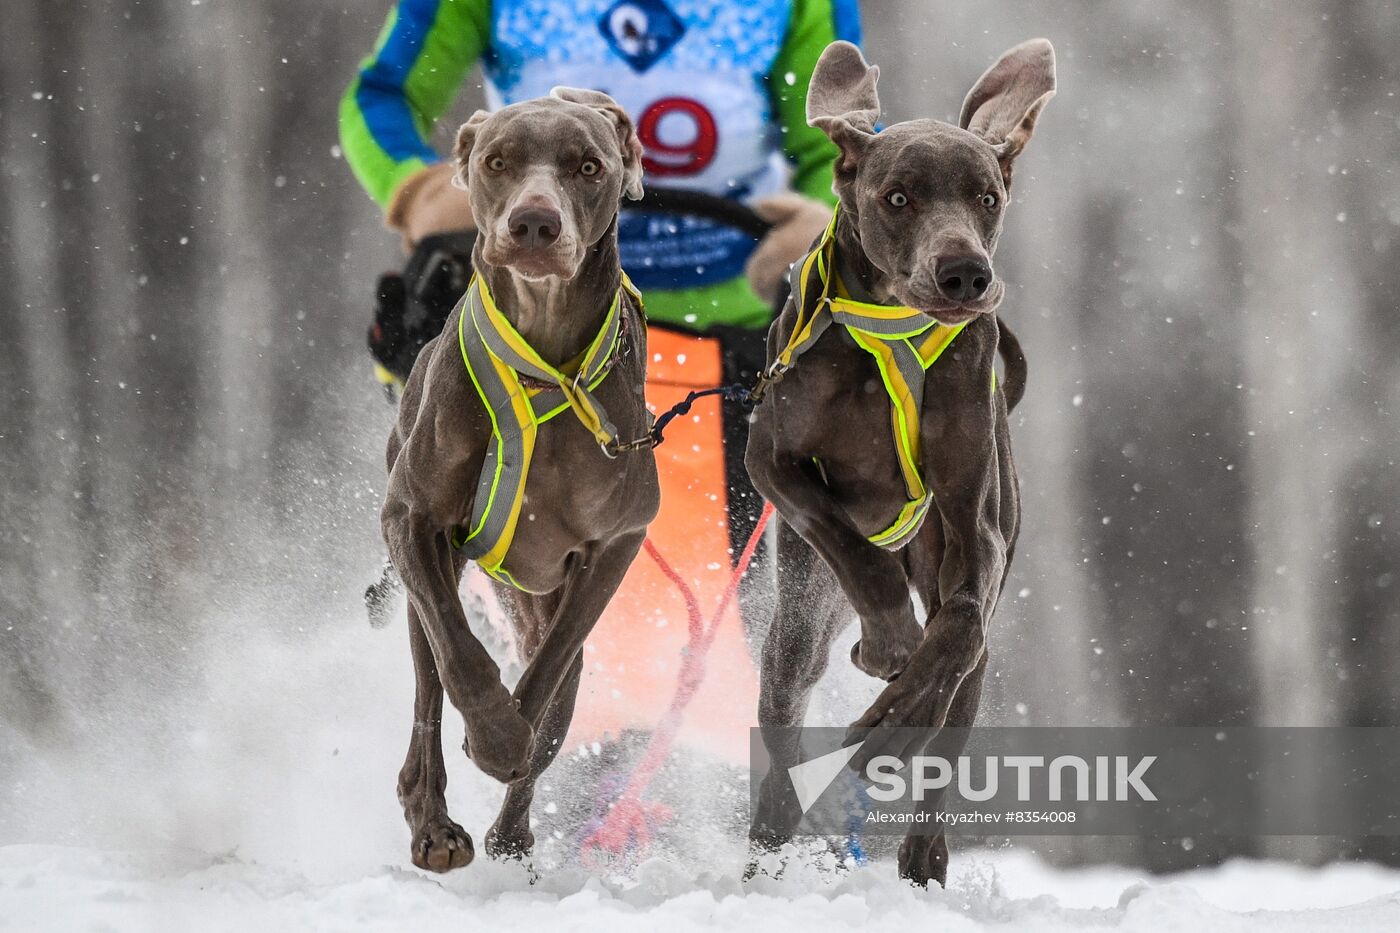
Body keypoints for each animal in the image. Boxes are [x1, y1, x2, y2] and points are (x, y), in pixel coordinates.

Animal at [380, 83, 658, 868]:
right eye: (498, 160)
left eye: (588, 166)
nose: (534, 223)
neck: (544, 367)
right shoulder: (412, 518)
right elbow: (462, 657)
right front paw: (496, 734)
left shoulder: (616, 541)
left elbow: (547, 679)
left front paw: (510, 741)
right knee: (428, 687)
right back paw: (434, 824)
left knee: (558, 693)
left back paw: (512, 828)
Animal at [750, 39, 1052, 885]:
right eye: (897, 197)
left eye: (987, 196)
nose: (965, 274)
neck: (893, 326)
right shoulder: (770, 457)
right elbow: (853, 547)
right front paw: (886, 642)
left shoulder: (974, 517)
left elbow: (956, 629)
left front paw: (897, 717)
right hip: (798, 618)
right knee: (783, 713)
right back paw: (767, 847)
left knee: (961, 683)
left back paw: (921, 853)